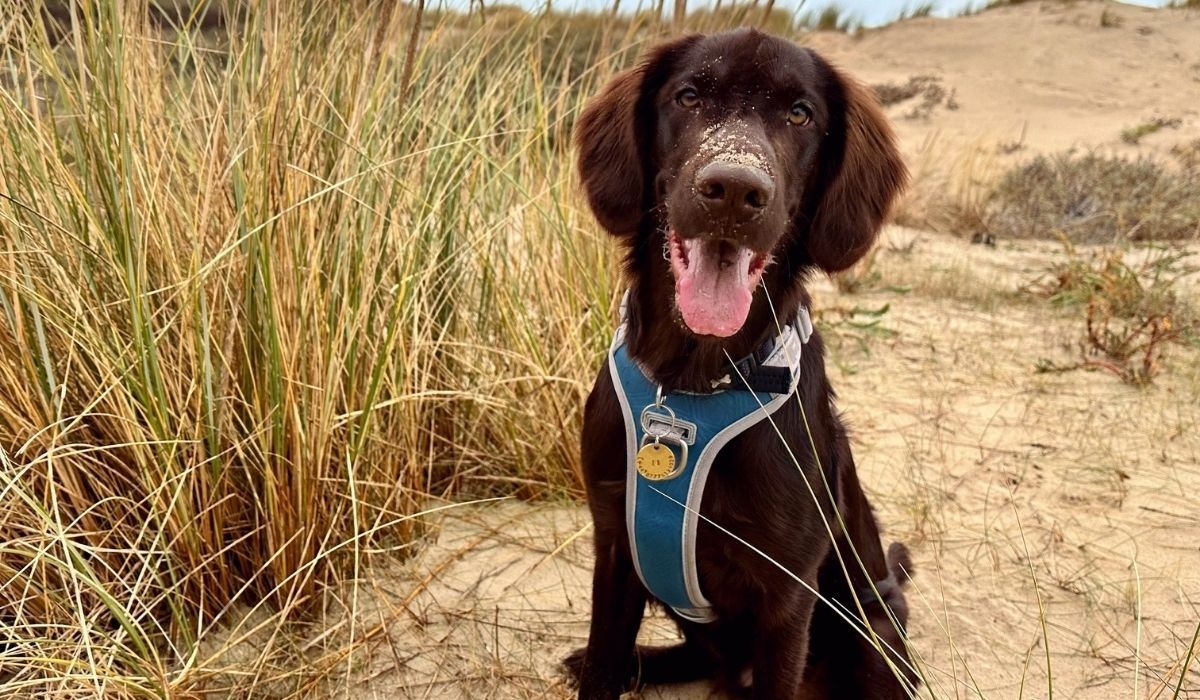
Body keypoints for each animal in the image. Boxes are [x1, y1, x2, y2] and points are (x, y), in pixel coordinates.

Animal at [561, 28, 916, 700]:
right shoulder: (615, 550)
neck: (694, 380)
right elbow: (601, 667)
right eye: (689, 96)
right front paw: (605, 665)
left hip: (874, 626)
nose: (733, 191)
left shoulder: (788, 595)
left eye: (800, 114)